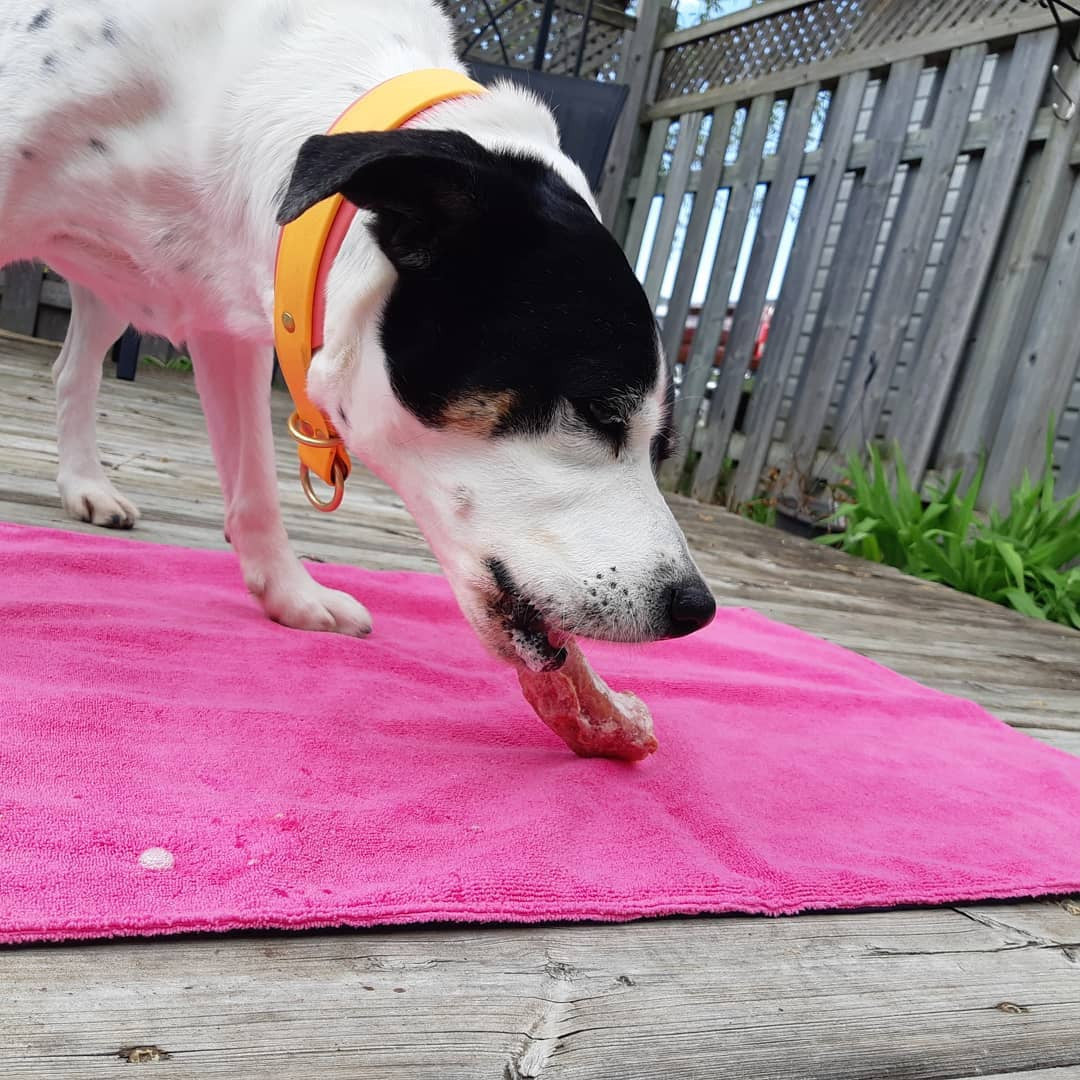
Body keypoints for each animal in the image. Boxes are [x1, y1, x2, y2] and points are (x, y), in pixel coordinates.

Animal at [2, 0, 717, 669]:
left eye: (662, 446)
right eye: (597, 410)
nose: (696, 609)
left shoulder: (229, 320)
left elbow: (254, 483)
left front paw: (290, 594)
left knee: (73, 370)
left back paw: (86, 485)